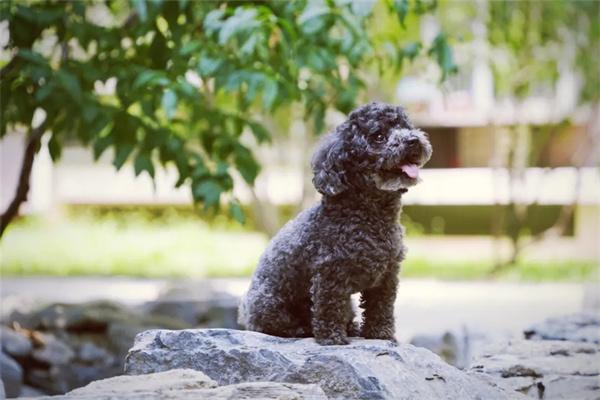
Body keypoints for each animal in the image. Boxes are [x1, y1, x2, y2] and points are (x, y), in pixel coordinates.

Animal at [238, 102, 432, 344]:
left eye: (406, 127)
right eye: (378, 136)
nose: (413, 140)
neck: (371, 217)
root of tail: (244, 314)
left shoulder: (387, 275)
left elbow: (381, 307)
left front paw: (381, 335)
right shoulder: (330, 272)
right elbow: (329, 307)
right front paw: (332, 339)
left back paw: (353, 328)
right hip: (268, 303)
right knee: (276, 325)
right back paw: (302, 330)